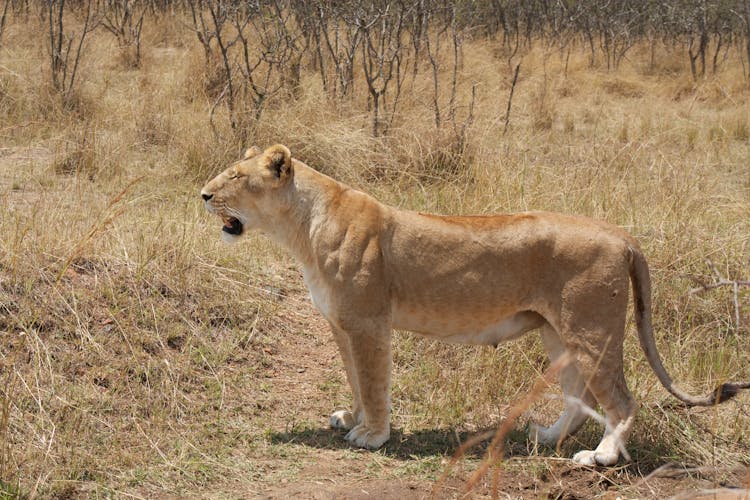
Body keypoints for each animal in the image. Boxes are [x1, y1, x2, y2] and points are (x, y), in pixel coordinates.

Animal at [203, 144, 748, 464]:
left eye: (234, 176)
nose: (203, 194)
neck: (300, 227)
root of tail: (621, 235)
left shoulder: (368, 323)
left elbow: (374, 383)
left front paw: (373, 436)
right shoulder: (342, 325)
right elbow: (356, 380)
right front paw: (351, 419)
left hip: (592, 328)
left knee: (619, 399)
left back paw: (603, 455)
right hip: (558, 332)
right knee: (580, 395)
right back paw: (546, 436)